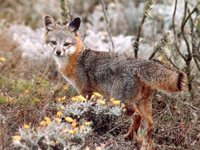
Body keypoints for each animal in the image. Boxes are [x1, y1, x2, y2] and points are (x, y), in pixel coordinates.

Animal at [43, 14, 188, 141]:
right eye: (53, 42)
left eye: (66, 44)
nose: (58, 52)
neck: (77, 58)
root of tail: (139, 63)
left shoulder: (86, 92)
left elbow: (86, 109)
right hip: (143, 104)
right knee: (150, 123)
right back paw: (145, 141)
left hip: (121, 102)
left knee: (137, 117)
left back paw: (128, 137)